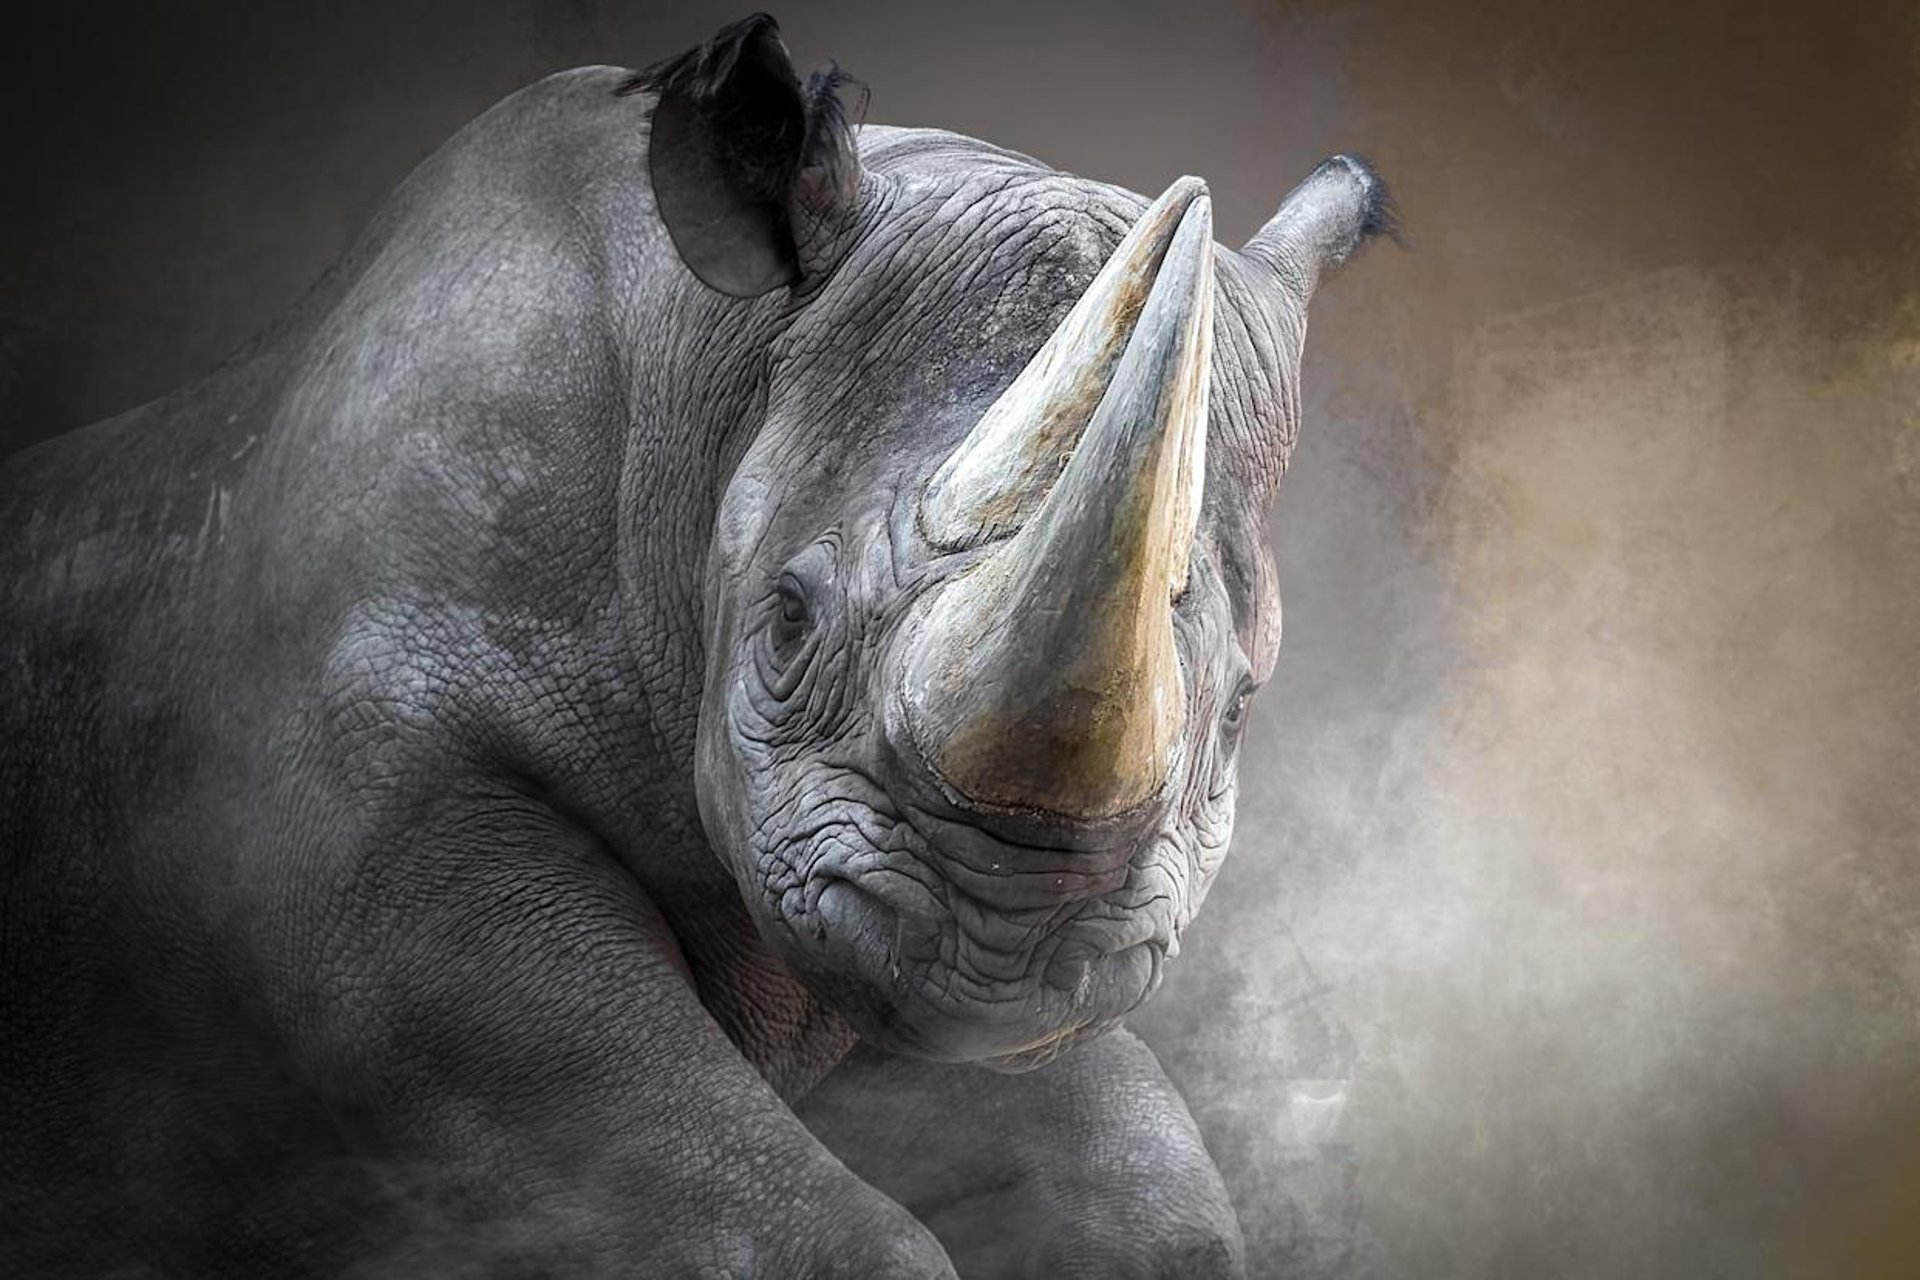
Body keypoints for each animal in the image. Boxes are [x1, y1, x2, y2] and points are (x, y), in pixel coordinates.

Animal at [0, 14, 1388, 1278]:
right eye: (785, 620)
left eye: (1241, 709)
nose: (998, 948)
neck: (712, 372)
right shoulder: (373, 845)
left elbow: (1148, 1200)